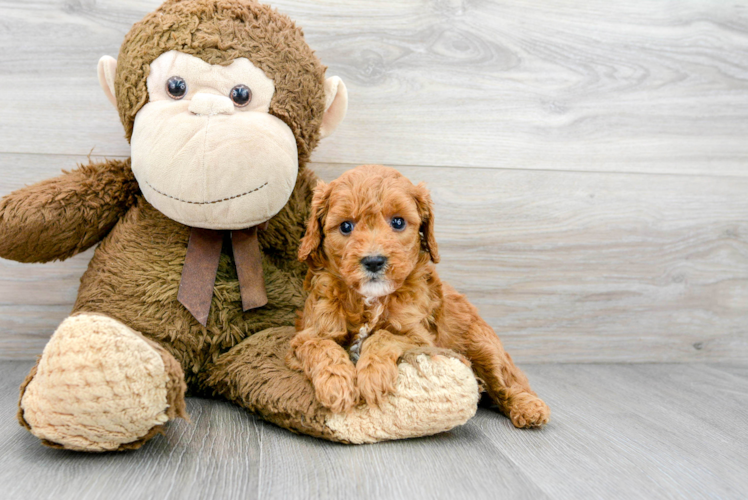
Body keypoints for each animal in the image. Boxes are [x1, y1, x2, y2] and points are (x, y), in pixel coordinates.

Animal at [286, 165, 548, 430]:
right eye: (346, 227)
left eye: (398, 222)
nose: (374, 261)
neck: (370, 299)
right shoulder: (309, 333)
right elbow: (323, 346)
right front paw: (336, 384)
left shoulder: (420, 337)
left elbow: (382, 336)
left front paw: (372, 376)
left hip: (483, 344)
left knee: (507, 380)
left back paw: (529, 408)